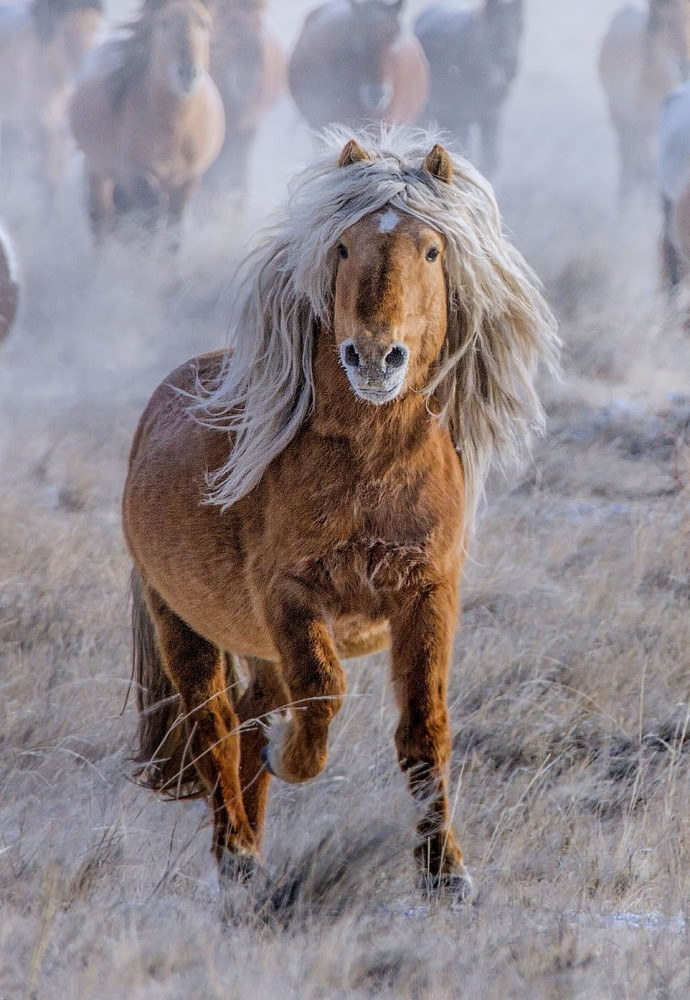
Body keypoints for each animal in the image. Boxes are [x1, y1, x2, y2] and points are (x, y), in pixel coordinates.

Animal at [68, 0, 223, 246]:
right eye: (163, 22)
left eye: (204, 24)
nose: (187, 72)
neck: (176, 129)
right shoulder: (138, 177)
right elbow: (146, 231)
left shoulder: (187, 181)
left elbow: (172, 237)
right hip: (98, 171)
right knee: (102, 222)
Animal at [121, 131, 556, 892]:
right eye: (344, 247)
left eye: (432, 250)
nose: (376, 357)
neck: (370, 470)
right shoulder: (290, 599)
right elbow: (324, 692)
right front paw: (295, 762)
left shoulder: (427, 595)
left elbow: (424, 729)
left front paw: (445, 874)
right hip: (181, 621)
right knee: (214, 723)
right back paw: (236, 852)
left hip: (254, 644)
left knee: (250, 717)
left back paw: (253, 844)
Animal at [592, 0, 688, 203]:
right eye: (665, 22)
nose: (684, 64)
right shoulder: (641, 125)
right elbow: (646, 167)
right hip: (619, 116)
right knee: (628, 159)